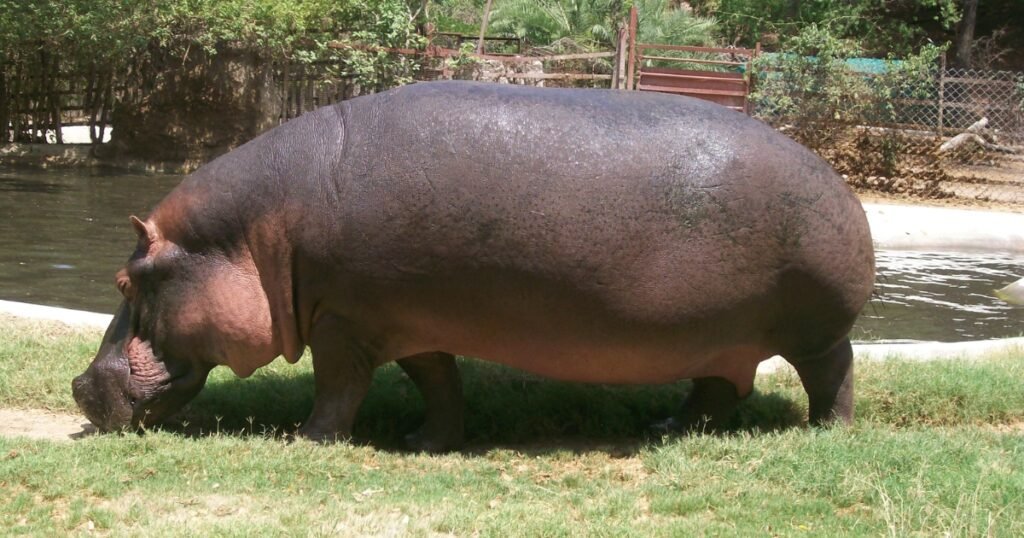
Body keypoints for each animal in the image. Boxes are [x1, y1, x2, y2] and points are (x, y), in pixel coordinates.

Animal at [72, 81, 875, 451]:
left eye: (123, 281)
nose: (79, 385)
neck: (252, 236)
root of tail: (843, 185)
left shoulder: (342, 319)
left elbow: (338, 389)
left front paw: (306, 439)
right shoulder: (406, 320)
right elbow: (438, 383)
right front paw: (425, 442)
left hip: (813, 332)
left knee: (833, 374)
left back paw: (826, 434)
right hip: (716, 339)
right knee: (718, 389)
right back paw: (663, 427)